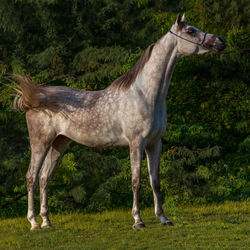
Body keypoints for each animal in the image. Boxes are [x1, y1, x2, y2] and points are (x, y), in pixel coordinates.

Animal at [12, 13, 226, 230]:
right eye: (190, 30)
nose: (220, 41)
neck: (144, 95)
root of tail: (35, 99)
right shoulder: (136, 143)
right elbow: (136, 181)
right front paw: (138, 221)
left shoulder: (155, 143)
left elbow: (155, 181)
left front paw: (164, 218)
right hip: (41, 142)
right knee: (31, 177)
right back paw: (33, 222)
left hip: (59, 143)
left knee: (44, 178)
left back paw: (46, 221)